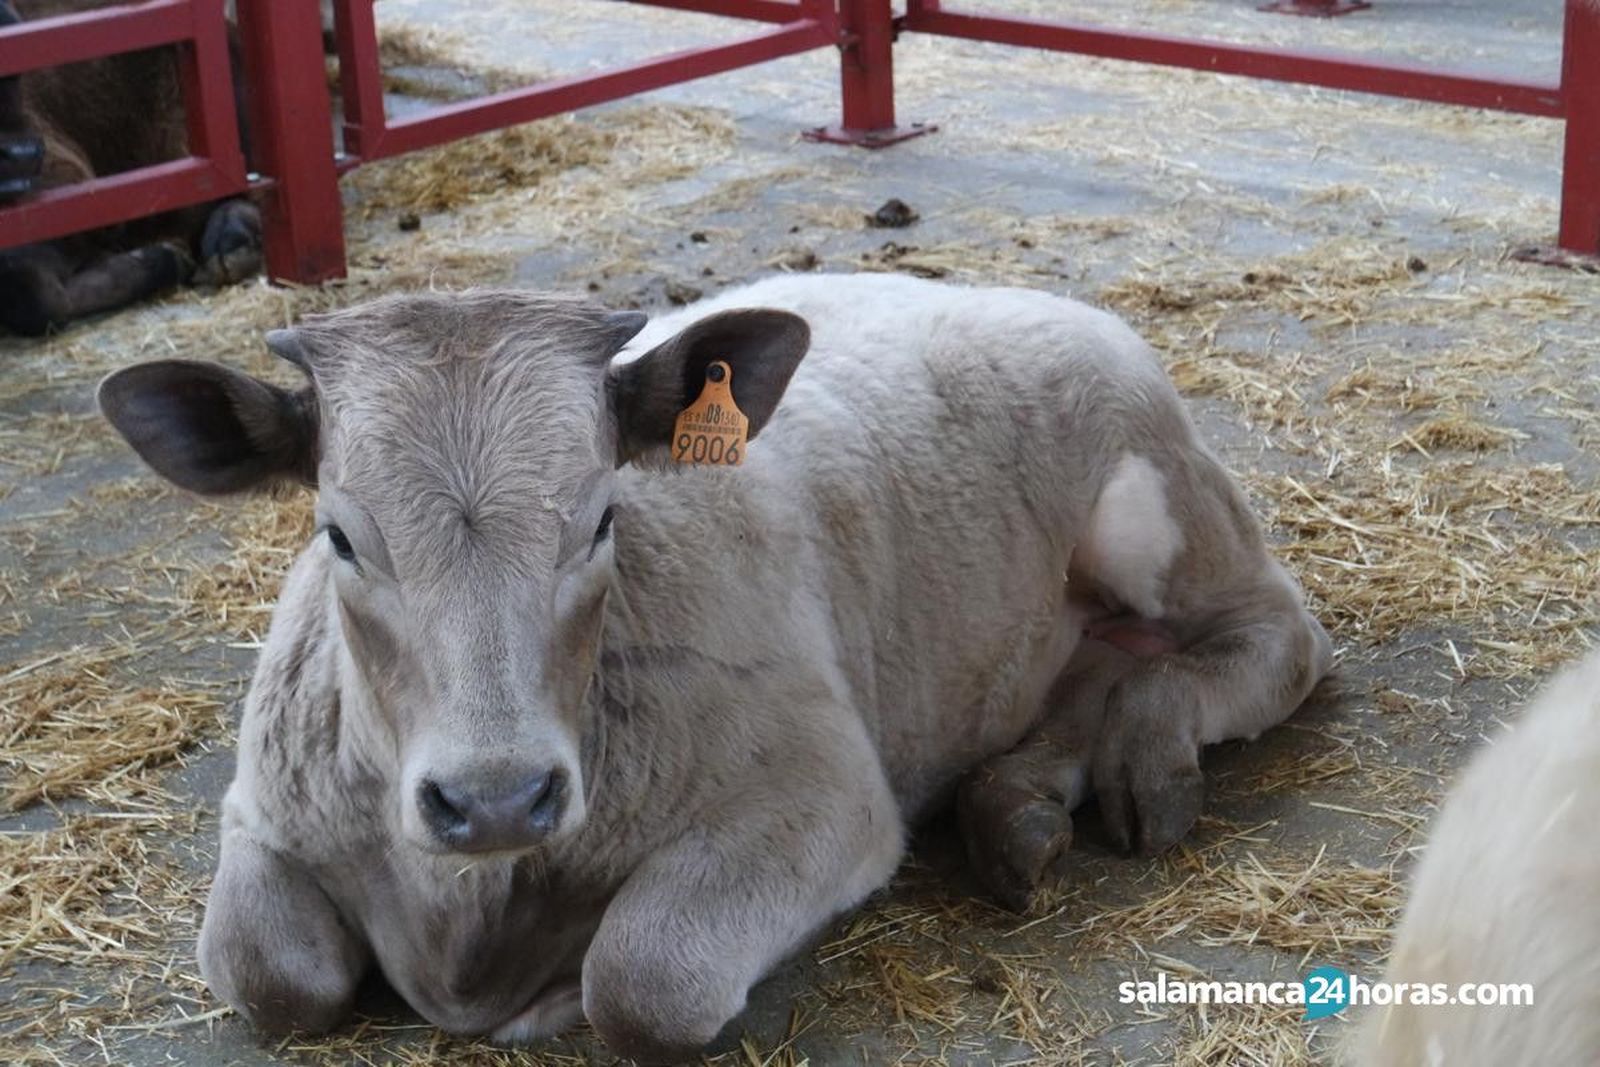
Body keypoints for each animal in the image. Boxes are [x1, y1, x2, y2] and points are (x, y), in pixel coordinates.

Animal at [97, 273, 1332, 1063]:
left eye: (601, 517)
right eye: (340, 536)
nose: (495, 796)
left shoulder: (827, 793)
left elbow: (643, 981)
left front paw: (563, 994)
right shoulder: (263, 807)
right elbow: (269, 974)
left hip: (1154, 506)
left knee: (1280, 639)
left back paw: (1148, 755)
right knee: (1084, 676)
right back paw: (1016, 808)